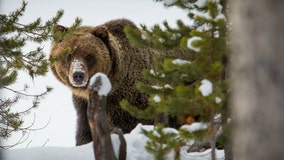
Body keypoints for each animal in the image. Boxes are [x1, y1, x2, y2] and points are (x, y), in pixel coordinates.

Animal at [50, 19, 191, 146]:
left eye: (89, 55)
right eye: (68, 55)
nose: (78, 75)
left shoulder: (129, 102)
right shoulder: (83, 104)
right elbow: (85, 132)